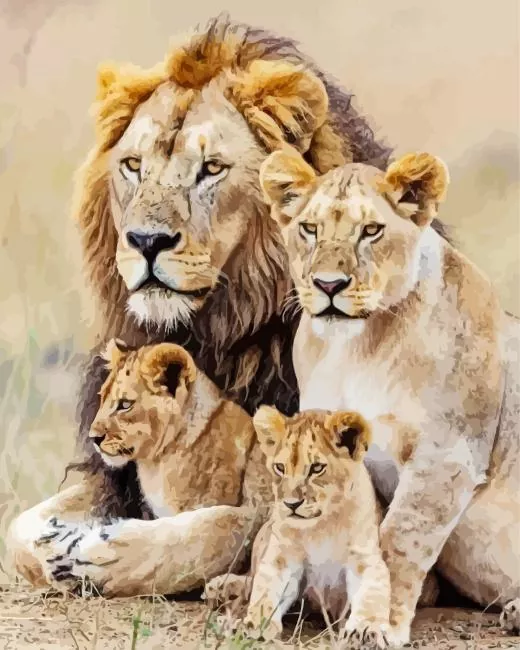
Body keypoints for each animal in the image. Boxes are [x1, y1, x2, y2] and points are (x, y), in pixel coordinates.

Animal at [205, 407, 391, 648]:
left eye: (317, 468)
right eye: (280, 467)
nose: (291, 504)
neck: (321, 526)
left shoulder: (365, 558)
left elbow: (372, 593)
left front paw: (366, 630)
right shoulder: (281, 555)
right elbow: (265, 589)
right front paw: (254, 625)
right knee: (250, 578)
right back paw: (219, 589)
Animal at [258, 147, 520, 644]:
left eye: (371, 231)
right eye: (310, 229)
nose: (328, 285)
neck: (357, 346)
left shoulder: (447, 456)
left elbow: (398, 541)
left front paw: (374, 624)